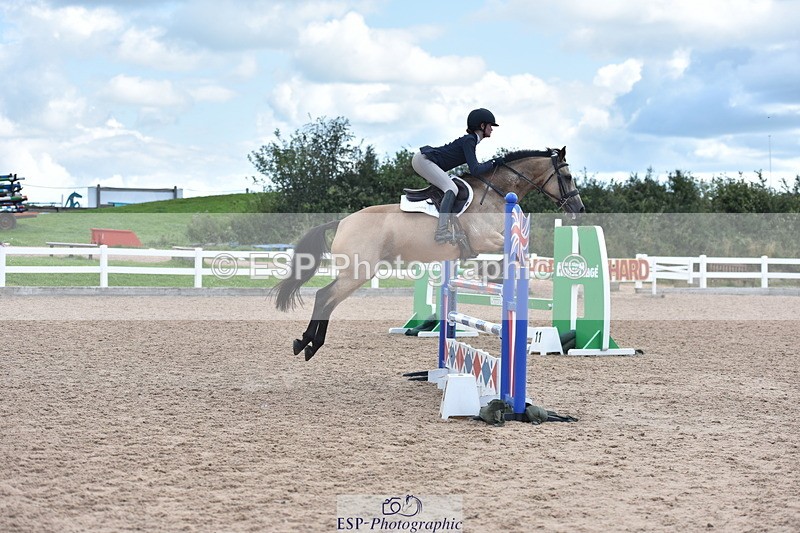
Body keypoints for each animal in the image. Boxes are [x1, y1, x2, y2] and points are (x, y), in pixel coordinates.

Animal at [273, 146, 585, 361]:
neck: (497, 193)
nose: (579, 209)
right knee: (324, 297)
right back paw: (308, 343)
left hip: (356, 272)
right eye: (568, 176)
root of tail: (342, 222)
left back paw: (306, 344)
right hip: (358, 272)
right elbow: (511, 254)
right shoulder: (486, 240)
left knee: (327, 299)